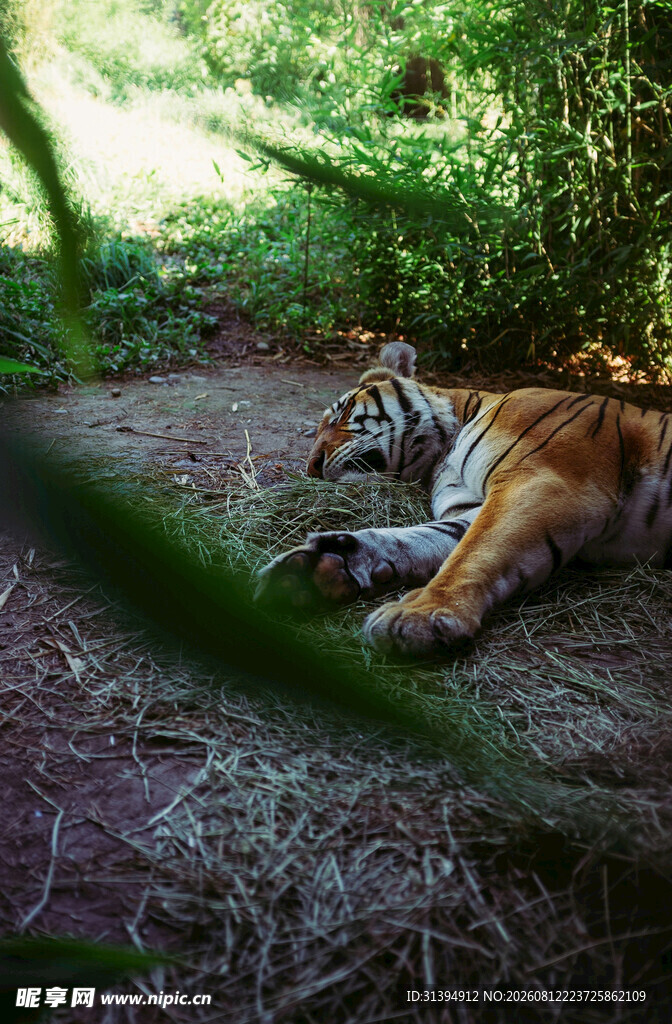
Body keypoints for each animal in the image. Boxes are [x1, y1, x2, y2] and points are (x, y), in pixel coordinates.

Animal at [256, 341, 672, 656]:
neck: (441, 456)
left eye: (339, 415)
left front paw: (420, 614)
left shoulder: (546, 480)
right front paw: (319, 568)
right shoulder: (471, 508)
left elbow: (474, 553)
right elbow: (421, 540)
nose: (311, 467)